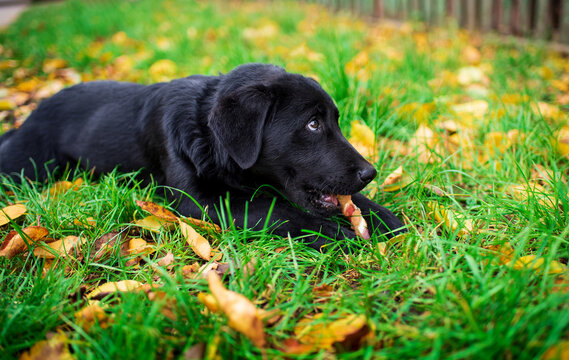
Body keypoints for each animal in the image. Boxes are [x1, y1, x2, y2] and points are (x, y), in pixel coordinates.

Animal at [0, 64, 404, 250]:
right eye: (313, 124)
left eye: (334, 120)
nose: (370, 172)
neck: (207, 138)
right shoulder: (198, 201)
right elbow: (275, 210)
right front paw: (330, 232)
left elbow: (359, 203)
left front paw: (387, 218)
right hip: (26, 167)